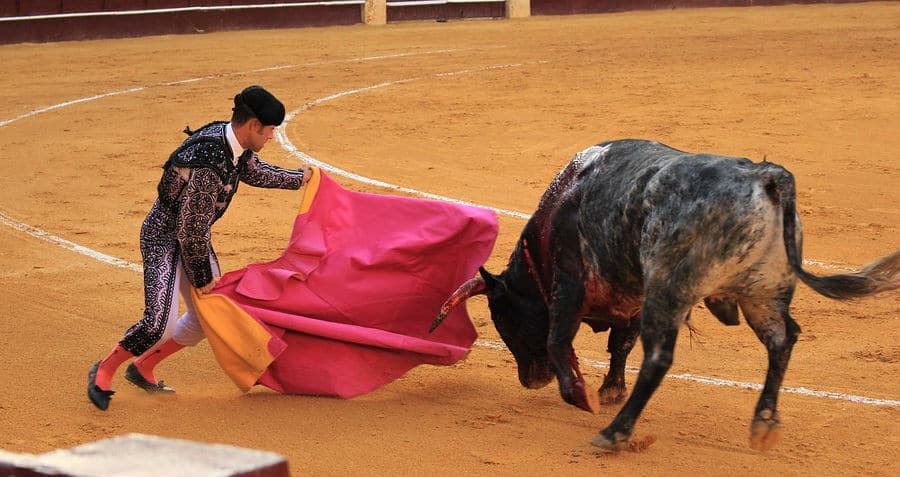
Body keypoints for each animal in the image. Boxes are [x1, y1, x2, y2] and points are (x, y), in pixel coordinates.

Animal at [430, 139, 900, 452]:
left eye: (503, 319)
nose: (530, 381)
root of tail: (766, 176)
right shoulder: (631, 298)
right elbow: (619, 345)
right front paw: (610, 390)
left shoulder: (570, 283)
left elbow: (559, 340)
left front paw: (583, 395)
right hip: (763, 292)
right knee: (782, 340)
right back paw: (764, 424)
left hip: (670, 289)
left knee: (659, 358)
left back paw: (615, 433)